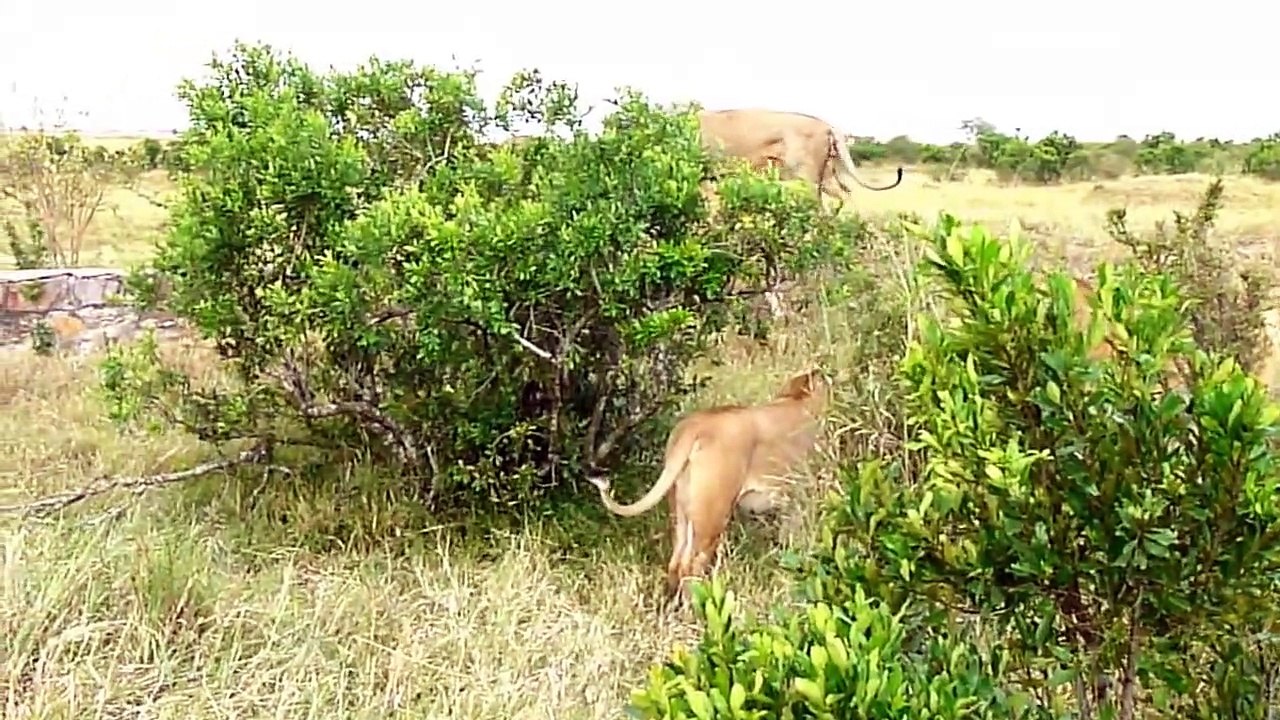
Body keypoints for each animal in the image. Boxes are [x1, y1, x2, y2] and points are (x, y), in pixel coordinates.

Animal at [587, 368, 830, 606]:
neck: (799, 398)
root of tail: (693, 426)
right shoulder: (804, 499)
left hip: (681, 511)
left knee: (676, 563)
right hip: (713, 514)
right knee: (692, 566)